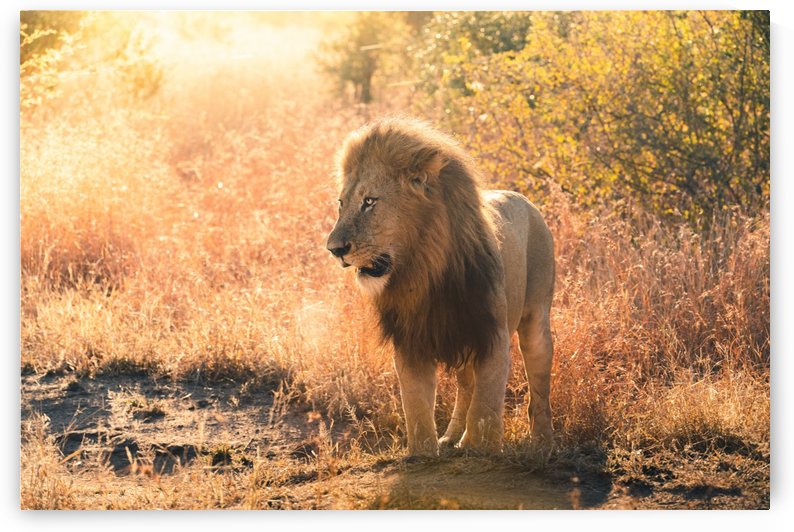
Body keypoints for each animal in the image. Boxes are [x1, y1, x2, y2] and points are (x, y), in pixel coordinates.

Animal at [326, 117, 555, 456]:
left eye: (369, 202)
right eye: (342, 204)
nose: (334, 249)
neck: (424, 270)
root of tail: (522, 197)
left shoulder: (491, 335)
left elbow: (486, 406)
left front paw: (484, 450)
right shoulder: (411, 341)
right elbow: (417, 406)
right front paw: (422, 455)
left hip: (536, 319)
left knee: (538, 384)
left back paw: (543, 442)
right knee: (465, 385)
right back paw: (452, 437)